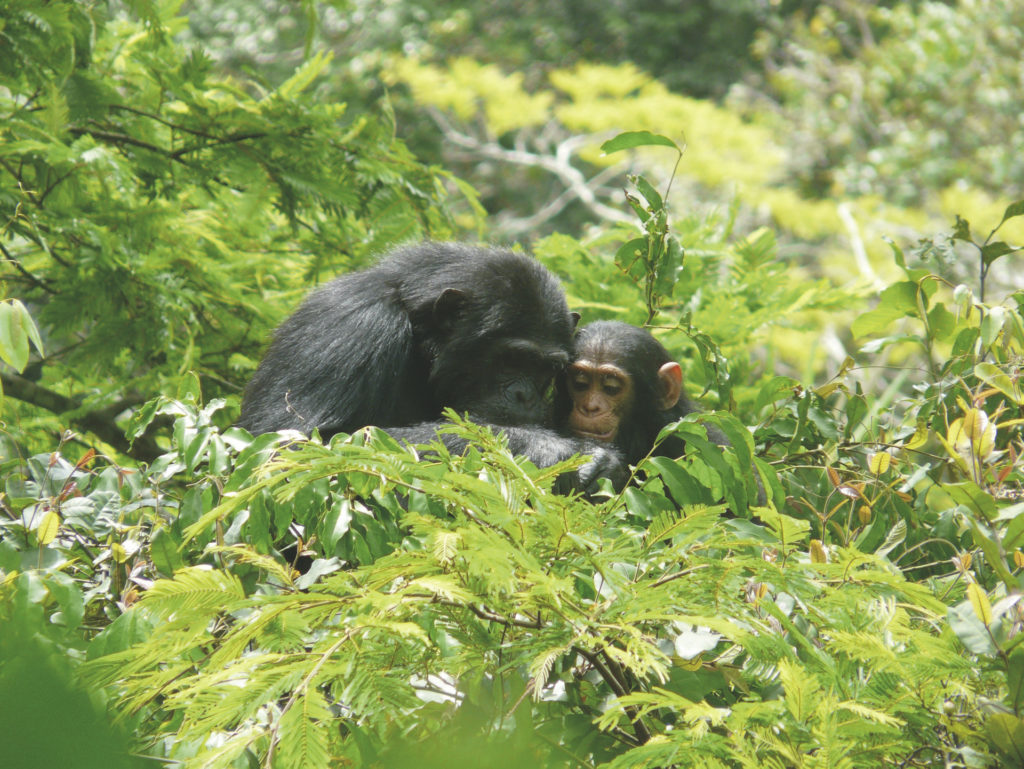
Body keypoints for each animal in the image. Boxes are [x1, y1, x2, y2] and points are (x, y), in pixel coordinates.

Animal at [239, 243, 622, 489]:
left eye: (546, 369)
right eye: (513, 358)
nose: (526, 396)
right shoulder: (351, 327)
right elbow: (293, 449)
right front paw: (553, 449)